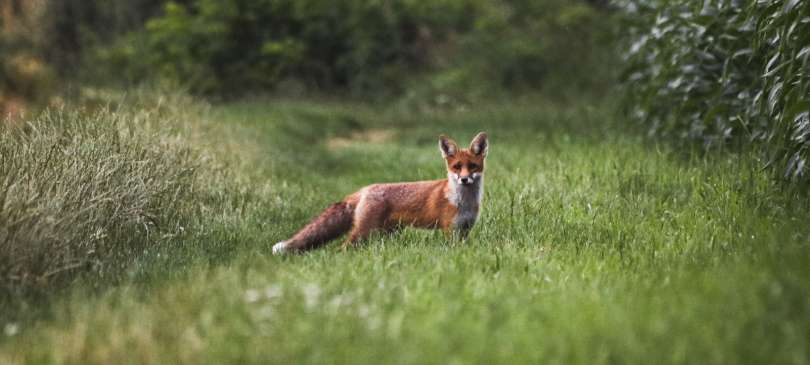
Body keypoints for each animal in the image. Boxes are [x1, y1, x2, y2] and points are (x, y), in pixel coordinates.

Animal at [272, 131, 486, 253]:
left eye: (472, 166)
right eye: (457, 167)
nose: (464, 179)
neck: (463, 201)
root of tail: (364, 189)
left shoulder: (465, 229)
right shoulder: (450, 230)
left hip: (384, 232)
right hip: (364, 232)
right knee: (343, 247)